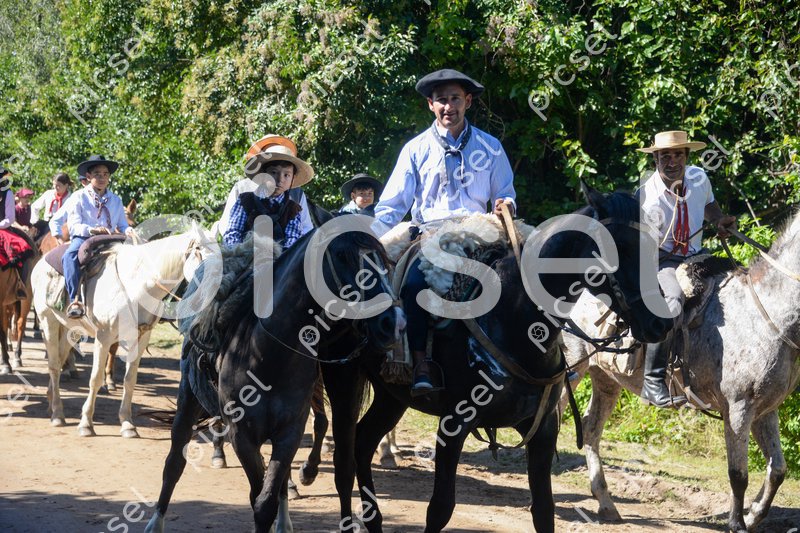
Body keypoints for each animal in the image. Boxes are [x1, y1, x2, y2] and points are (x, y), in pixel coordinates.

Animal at [31, 222, 214, 437]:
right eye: (200, 252)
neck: (137, 286)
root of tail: (41, 262)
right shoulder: (103, 337)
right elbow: (95, 379)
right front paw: (86, 424)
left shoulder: (141, 338)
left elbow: (130, 380)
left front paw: (128, 424)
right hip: (48, 320)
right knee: (53, 365)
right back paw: (57, 414)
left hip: (73, 329)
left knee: (59, 360)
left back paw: (51, 402)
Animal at [145, 226, 403, 533]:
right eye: (342, 256)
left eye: (385, 261)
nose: (393, 322)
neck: (268, 351)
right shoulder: (242, 435)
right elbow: (257, 497)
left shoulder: (289, 432)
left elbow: (267, 497)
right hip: (188, 401)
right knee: (173, 463)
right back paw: (155, 521)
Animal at [320, 186, 672, 533]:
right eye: (621, 247)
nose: (661, 323)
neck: (514, 319)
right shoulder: (453, 424)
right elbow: (440, 509)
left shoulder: (543, 430)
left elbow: (543, 510)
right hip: (343, 381)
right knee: (344, 459)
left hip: (391, 397)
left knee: (363, 443)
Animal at [561, 209, 800, 533]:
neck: (768, 315)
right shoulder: (739, 409)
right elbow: (738, 474)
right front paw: (737, 522)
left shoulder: (765, 409)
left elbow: (778, 470)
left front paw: (752, 516)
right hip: (569, 369)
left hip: (605, 379)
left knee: (591, 428)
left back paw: (606, 503)